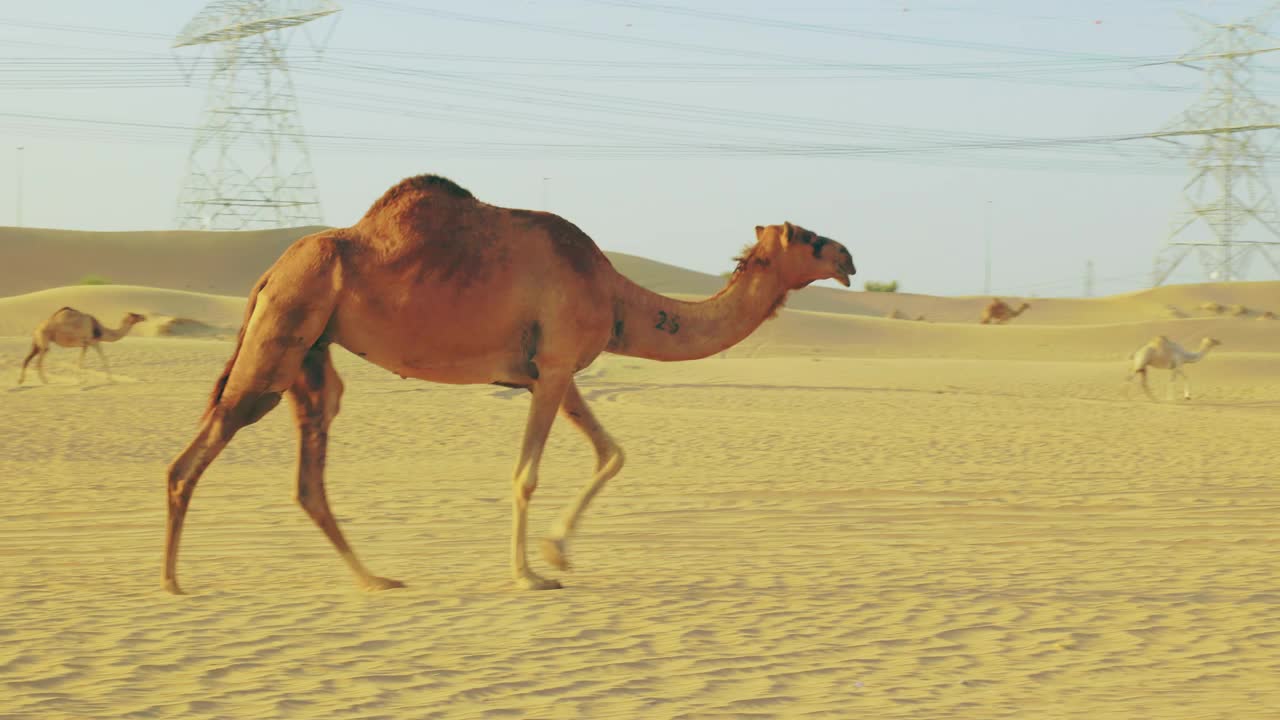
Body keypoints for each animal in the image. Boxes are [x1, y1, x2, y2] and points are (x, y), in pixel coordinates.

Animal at [17, 304, 145, 384]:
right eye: (134, 315)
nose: (144, 316)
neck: (98, 328)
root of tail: (36, 328)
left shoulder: (94, 342)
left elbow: (104, 359)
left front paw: (112, 380)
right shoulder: (86, 342)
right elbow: (81, 363)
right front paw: (81, 381)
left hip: (37, 343)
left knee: (27, 359)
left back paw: (21, 381)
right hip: (44, 342)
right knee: (38, 362)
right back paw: (45, 381)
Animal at [162, 170, 860, 591]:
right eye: (809, 237)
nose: (849, 257)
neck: (615, 298)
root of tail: (267, 273)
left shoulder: (551, 371)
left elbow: (612, 453)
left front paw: (557, 553)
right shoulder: (552, 369)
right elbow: (527, 475)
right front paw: (530, 575)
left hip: (311, 351)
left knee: (309, 469)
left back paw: (374, 579)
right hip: (285, 326)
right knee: (208, 439)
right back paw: (170, 580)